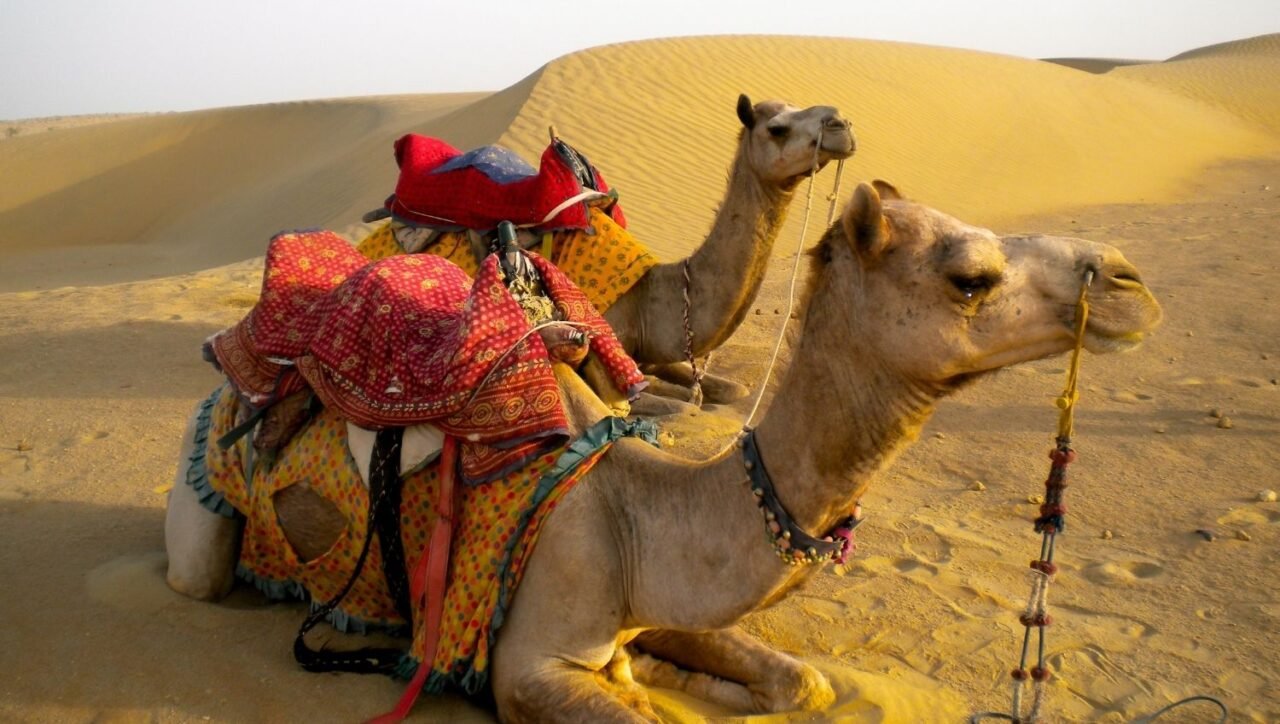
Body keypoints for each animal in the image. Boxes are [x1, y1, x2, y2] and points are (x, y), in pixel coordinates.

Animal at [165, 180, 1161, 720]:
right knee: (200, 574)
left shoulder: (665, 595)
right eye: (969, 276)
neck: (635, 504)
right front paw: (649, 683)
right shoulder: (528, 664)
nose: (1129, 280)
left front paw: (667, 672)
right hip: (204, 506)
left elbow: (804, 684)